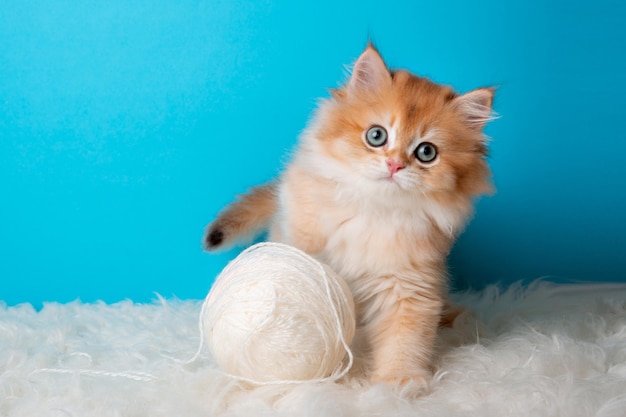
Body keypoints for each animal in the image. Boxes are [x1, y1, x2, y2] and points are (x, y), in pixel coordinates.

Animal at [202, 44, 494, 386]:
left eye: (426, 152)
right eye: (377, 136)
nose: (395, 165)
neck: (373, 208)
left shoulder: (409, 283)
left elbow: (405, 339)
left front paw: (397, 383)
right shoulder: (306, 240)